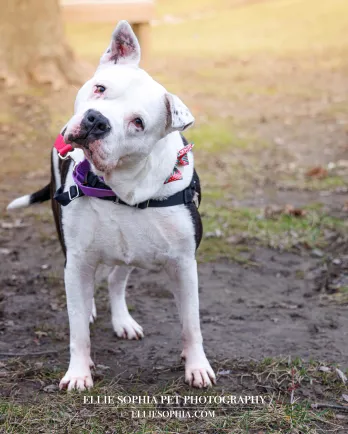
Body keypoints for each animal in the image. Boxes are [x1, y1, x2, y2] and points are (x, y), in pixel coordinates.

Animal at [7, 20, 215, 392]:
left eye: (138, 122)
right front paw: (79, 372)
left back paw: (123, 321)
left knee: (117, 280)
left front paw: (197, 366)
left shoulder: (183, 264)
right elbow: (78, 330)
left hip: (132, 250)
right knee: (90, 287)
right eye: (100, 88)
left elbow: (191, 324)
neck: (121, 187)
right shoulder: (77, 259)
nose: (95, 120)